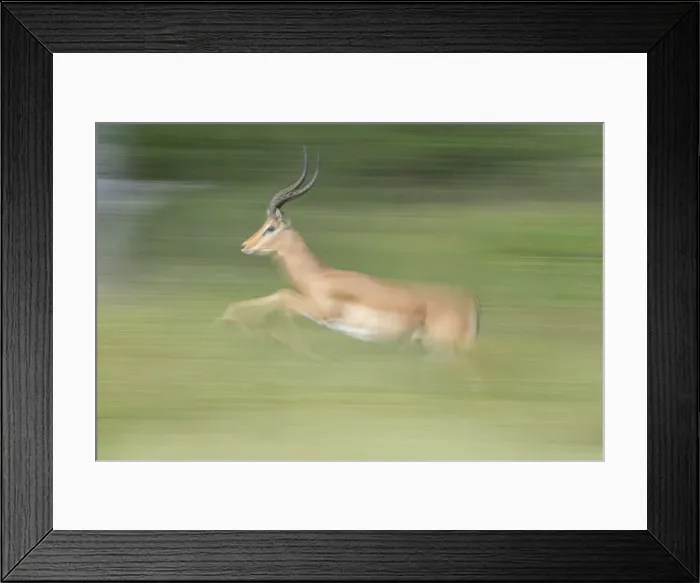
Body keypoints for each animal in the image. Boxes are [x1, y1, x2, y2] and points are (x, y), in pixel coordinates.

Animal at [218, 147, 482, 359]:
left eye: (270, 227)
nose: (245, 245)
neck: (319, 276)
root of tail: (469, 301)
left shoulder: (322, 313)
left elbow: (282, 295)